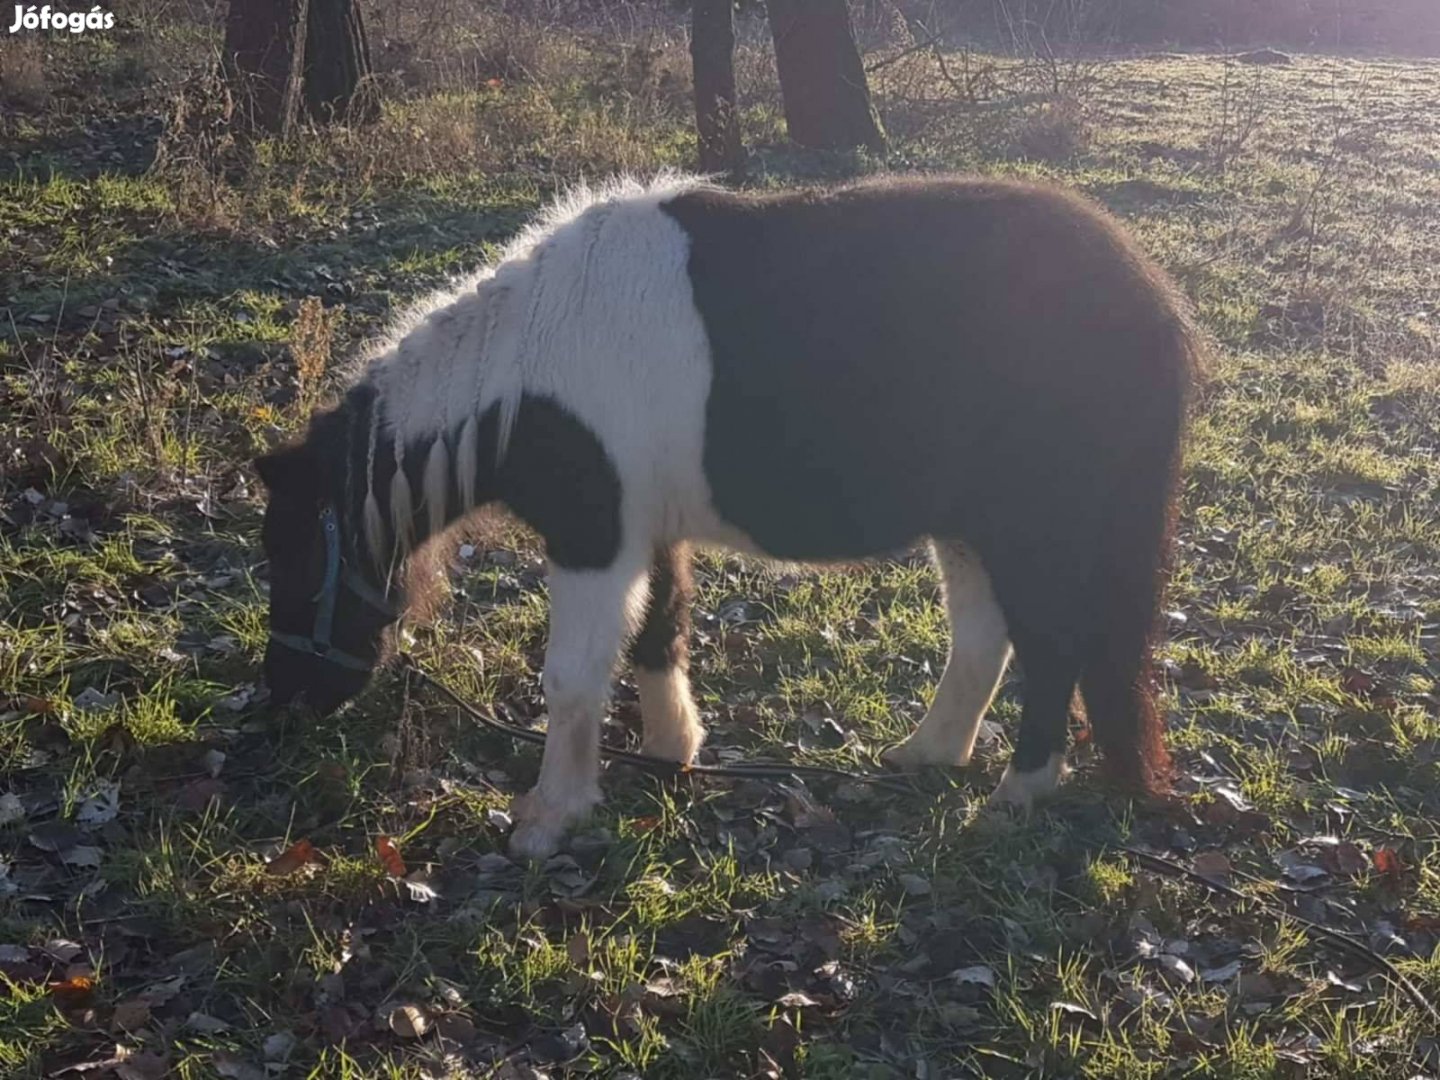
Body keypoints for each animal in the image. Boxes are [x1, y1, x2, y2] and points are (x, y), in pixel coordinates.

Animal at [253, 173, 1198, 858]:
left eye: (295, 563)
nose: (283, 709)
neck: (530, 371)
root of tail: (1147, 294)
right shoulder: (645, 534)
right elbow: (658, 633)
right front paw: (672, 747)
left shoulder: (593, 542)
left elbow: (572, 676)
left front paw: (551, 813)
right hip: (970, 526)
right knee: (985, 639)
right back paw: (931, 753)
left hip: (1032, 527)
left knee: (1052, 649)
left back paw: (1017, 793)